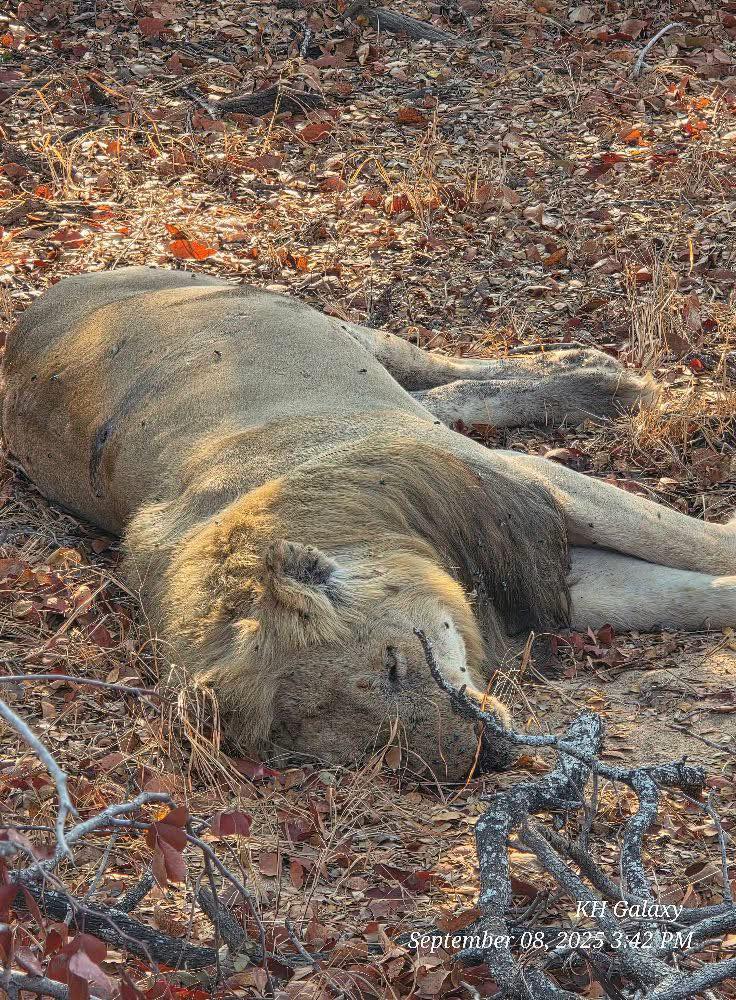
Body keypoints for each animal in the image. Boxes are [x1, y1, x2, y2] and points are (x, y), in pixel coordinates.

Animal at [2, 267, 734, 780]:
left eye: (392, 665)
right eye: (367, 746)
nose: (482, 757)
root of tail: (29, 312)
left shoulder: (532, 489)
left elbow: (690, 543)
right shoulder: (535, 568)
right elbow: (678, 596)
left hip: (302, 314)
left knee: (438, 368)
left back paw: (605, 381)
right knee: (449, 395)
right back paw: (599, 388)